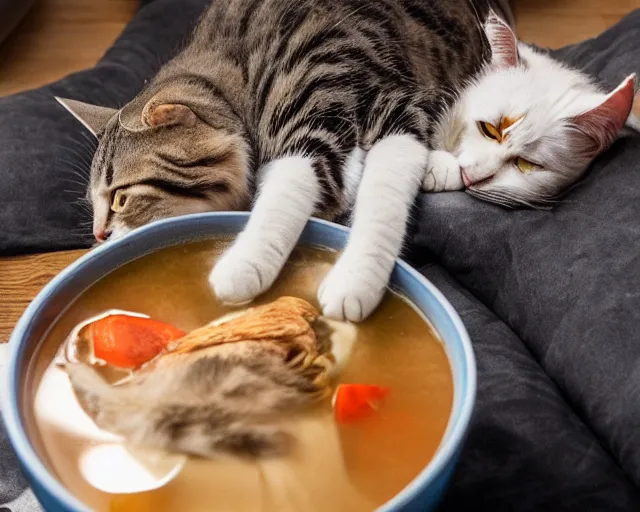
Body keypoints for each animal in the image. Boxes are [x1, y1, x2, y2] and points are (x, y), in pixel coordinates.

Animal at [58, 3, 636, 320]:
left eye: (121, 197)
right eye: (93, 203)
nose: (98, 235)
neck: (238, 66)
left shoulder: (383, 103)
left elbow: (345, 191)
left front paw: (341, 279)